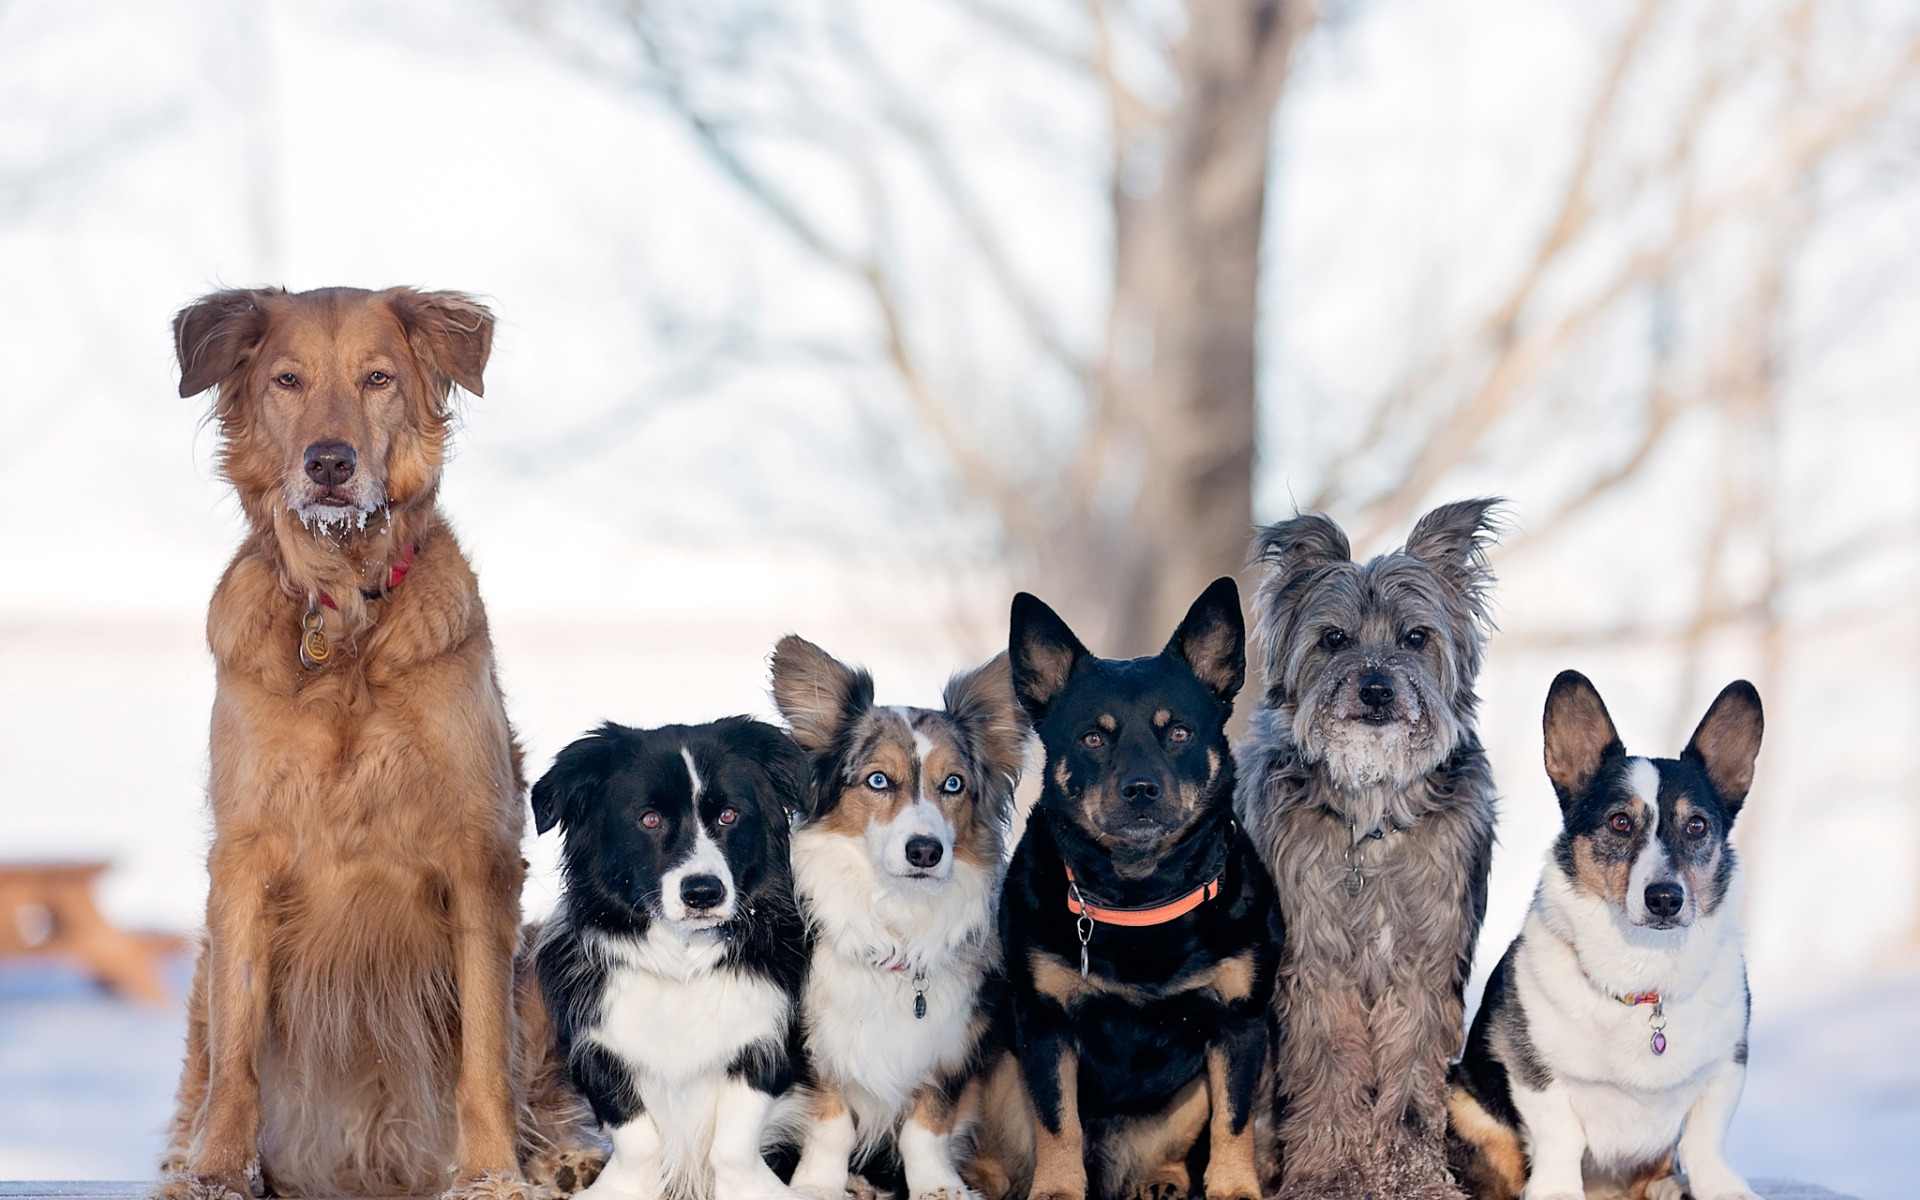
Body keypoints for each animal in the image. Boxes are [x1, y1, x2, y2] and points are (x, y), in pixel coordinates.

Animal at [155, 288, 591, 1198]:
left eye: (378, 378)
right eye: (287, 380)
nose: (329, 463)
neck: (344, 614)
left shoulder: (477, 853)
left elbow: (484, 1056)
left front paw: (490, 1177)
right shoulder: (244, 855)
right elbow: (235, 1058)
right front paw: (217, 1175)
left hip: (538, 956)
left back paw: (559, 1158)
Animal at [998, 579, 1282, 1198]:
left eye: (1178, 732)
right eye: (1092, 738)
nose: (1141, 788)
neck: (1141, 898)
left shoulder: (1241, 1022)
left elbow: (1234, 1120)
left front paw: (1234, 1188)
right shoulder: (1043, 1022)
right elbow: (1057, 1122)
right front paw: (1056, 1190)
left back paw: (1164, 1179)